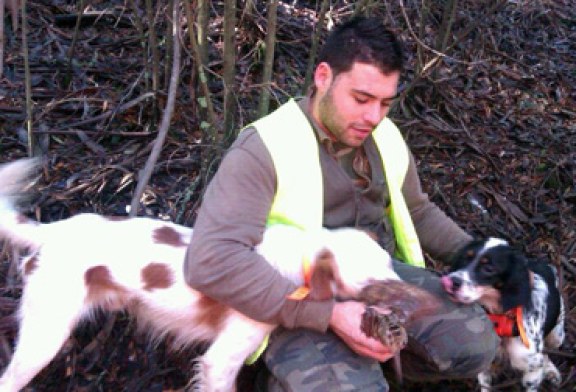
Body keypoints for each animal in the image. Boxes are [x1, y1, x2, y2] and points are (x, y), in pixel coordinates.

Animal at [0, 158, 432, 390]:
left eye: (391, 264)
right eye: (374, 283)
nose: (422, 305)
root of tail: (55, 229)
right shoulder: (221, 360)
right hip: (42, 338)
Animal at [444, 239, 564, 392]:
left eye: (489, 268)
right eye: (466, 258)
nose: (450, 281)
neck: (500, 319)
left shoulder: (533, 369)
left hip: (557, 336)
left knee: (547, 353)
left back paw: (552, 371)